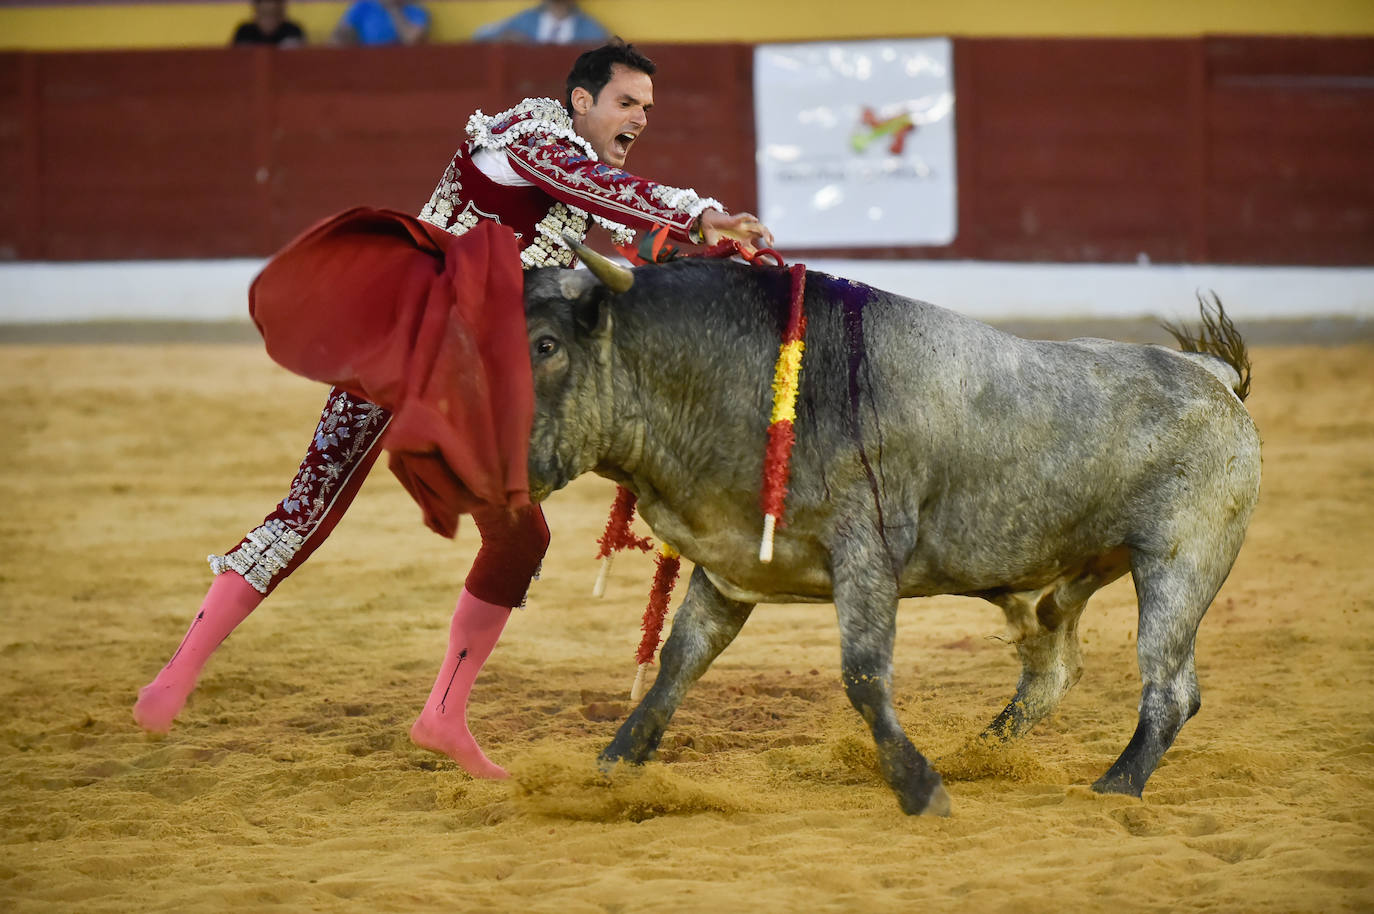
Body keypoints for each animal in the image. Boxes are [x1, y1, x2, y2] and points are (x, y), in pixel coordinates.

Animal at [519, 240, 1258, 813]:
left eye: (546, 344)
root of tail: (1210, 374)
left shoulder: (866, 557)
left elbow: (864, 674)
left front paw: (918, 787)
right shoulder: (731, 565)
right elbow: (680, 660)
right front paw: (615, 764)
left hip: (1178, 565)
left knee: (1169, 688)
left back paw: (1115, 787)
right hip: (1068, 575)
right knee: (1054, 672)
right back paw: (978, 753)